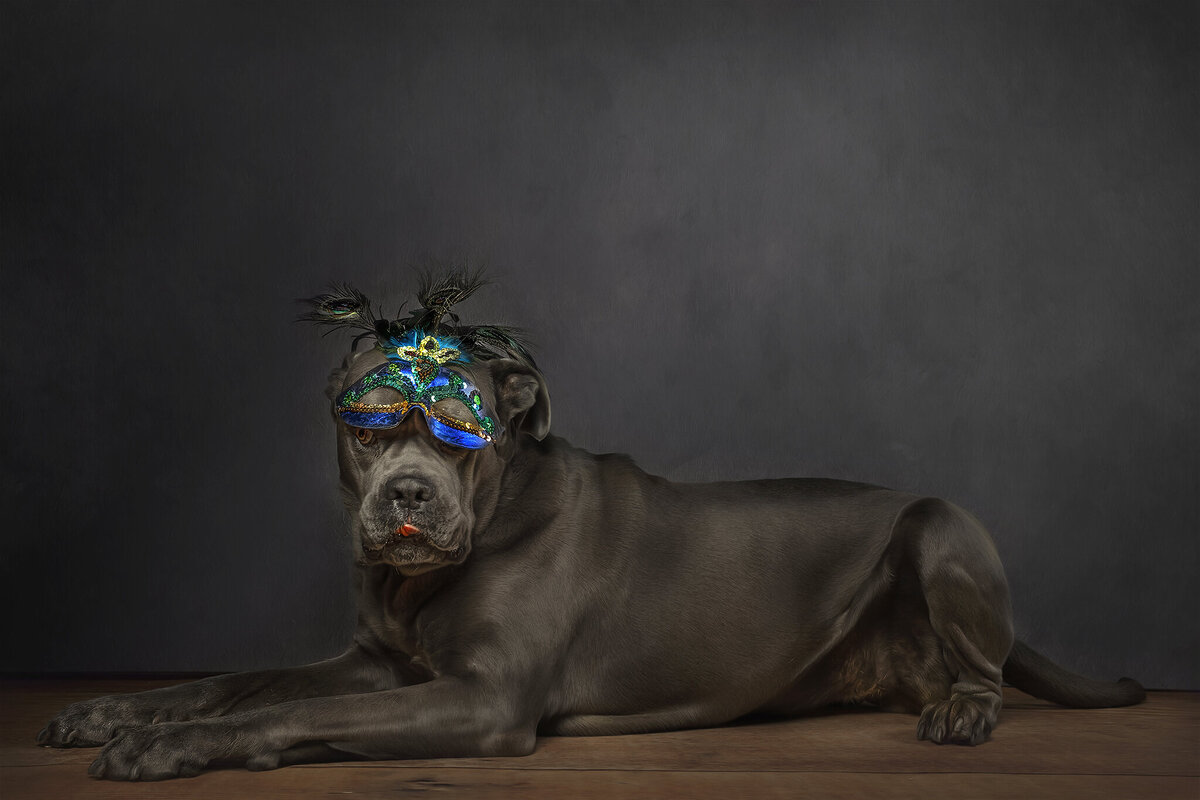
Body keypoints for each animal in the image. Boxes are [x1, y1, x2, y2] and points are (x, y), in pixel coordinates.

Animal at [35, 281, 1142, 782]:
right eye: (367, 420)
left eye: (463, 426)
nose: (408, 495)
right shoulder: (376, 663)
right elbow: (242, 679)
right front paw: (117, 712)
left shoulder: (482, 699)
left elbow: (288, 711)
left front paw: (169, 745)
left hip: (938, 524)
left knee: (983, 669)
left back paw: (963, 710)